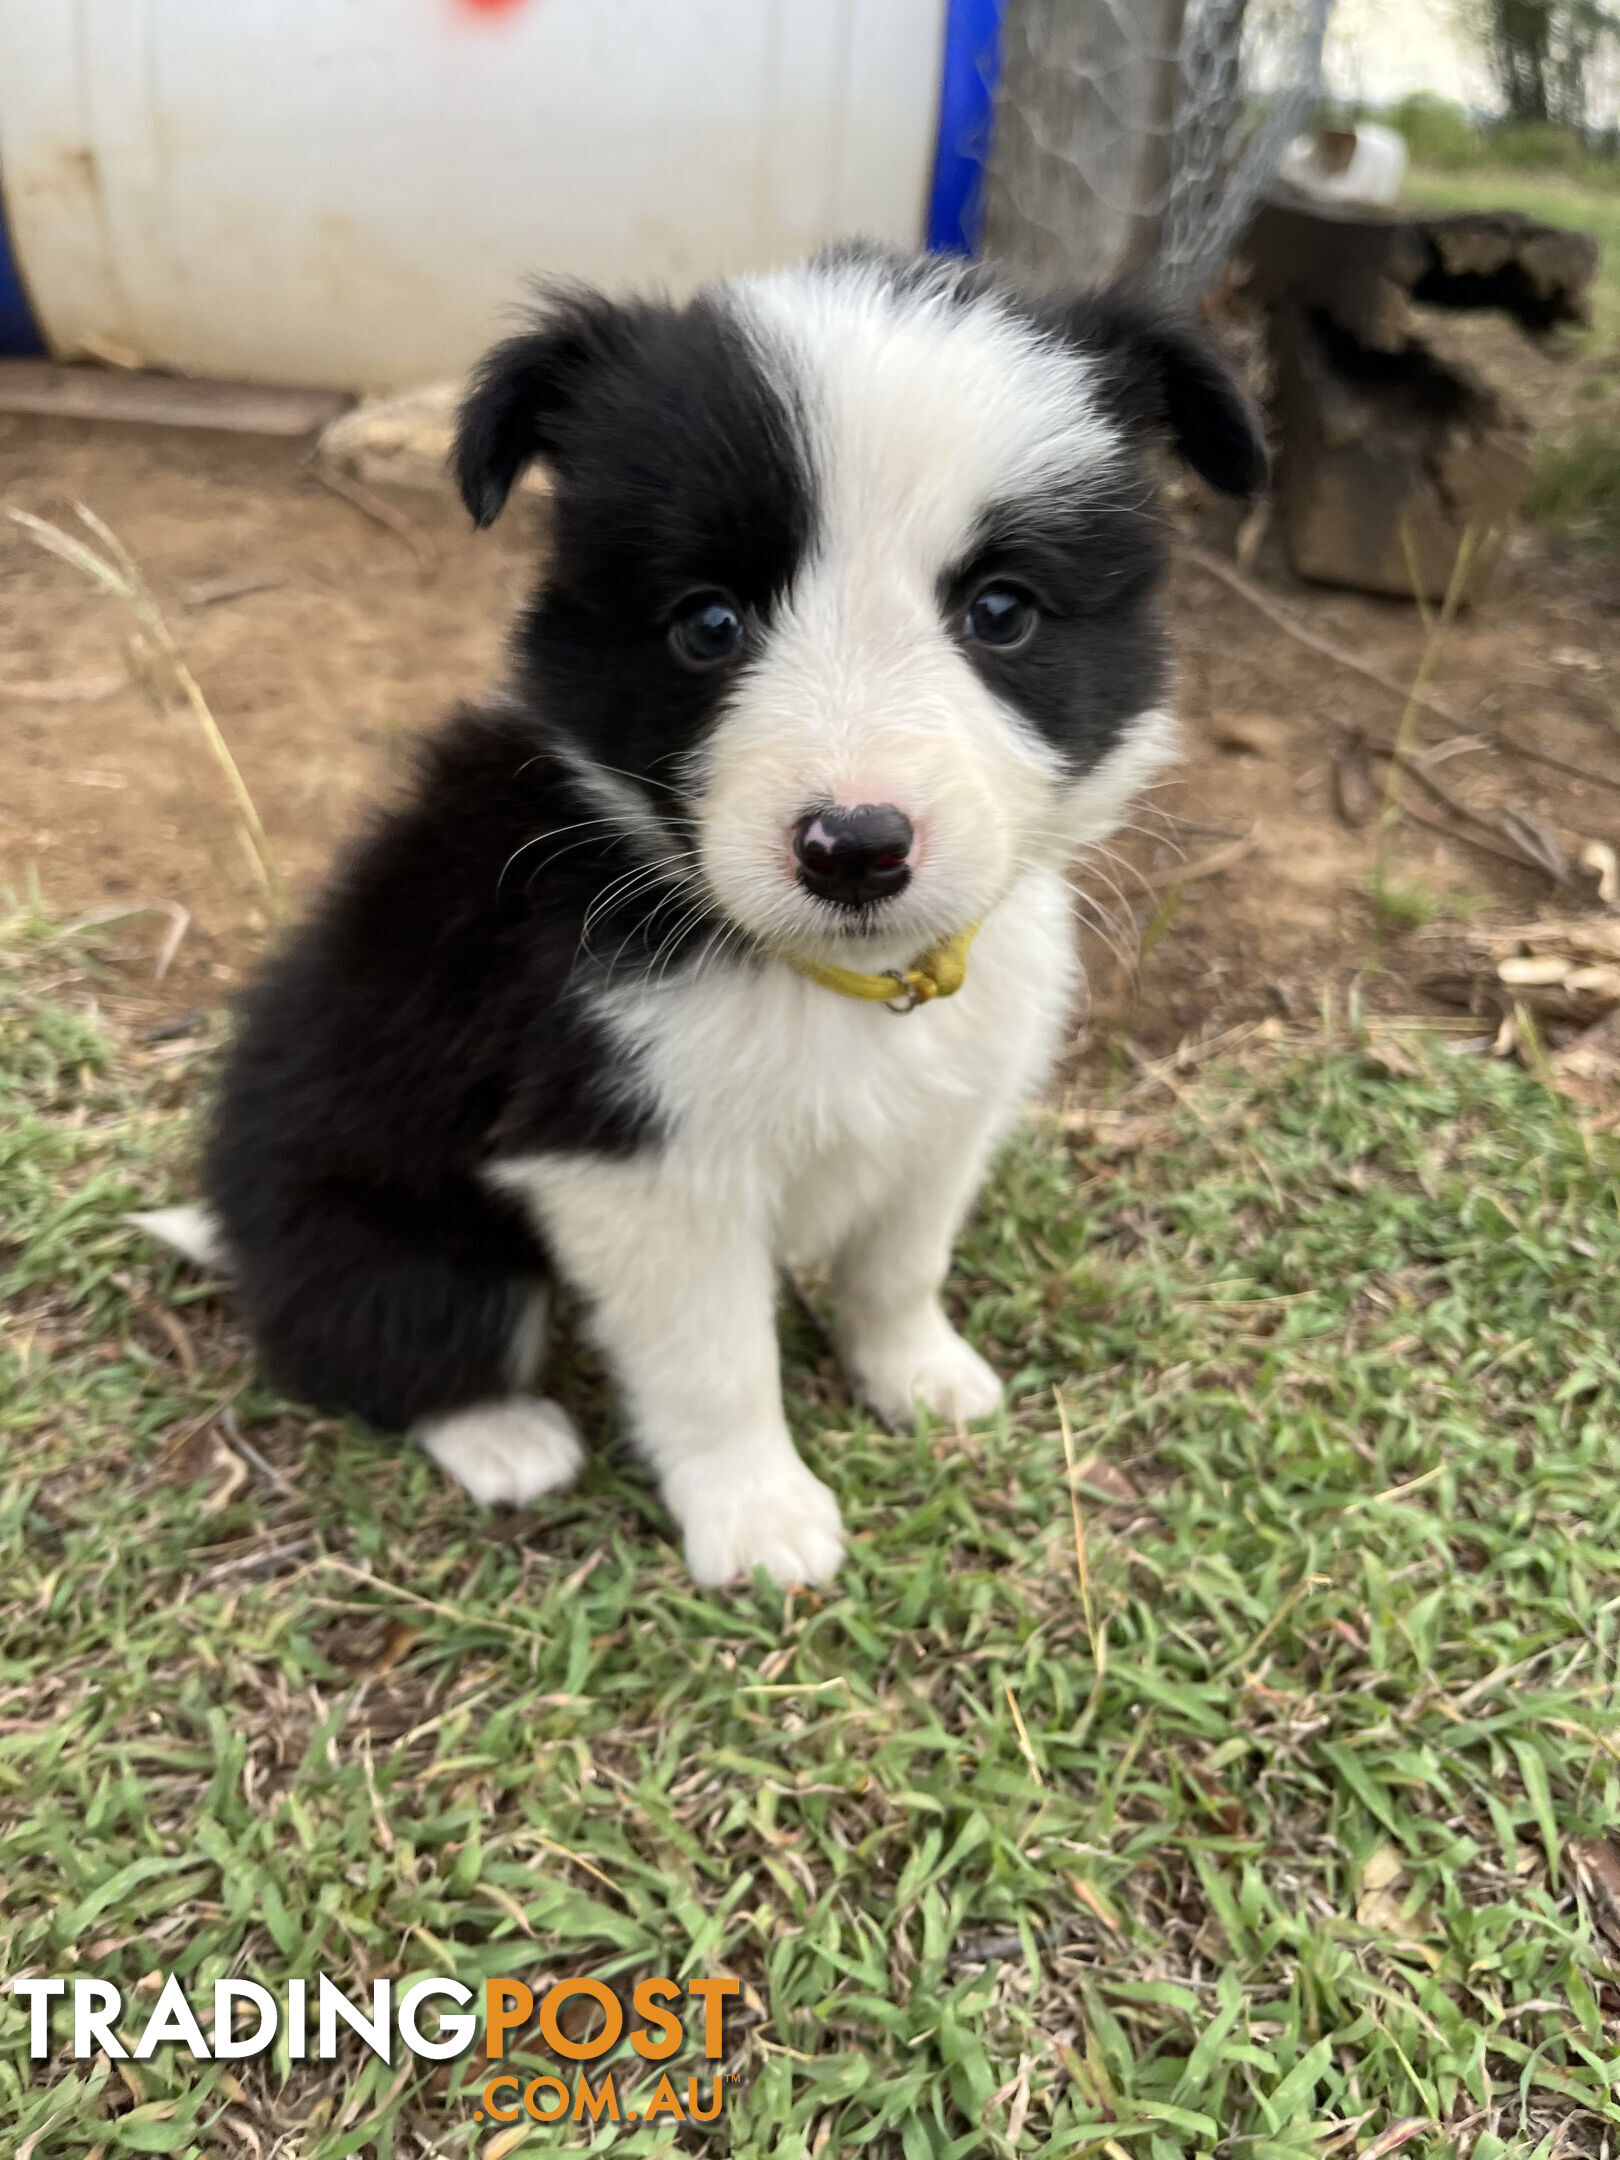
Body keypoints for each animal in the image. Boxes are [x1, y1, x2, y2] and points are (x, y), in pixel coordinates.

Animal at [142, 245, 1270, 1589]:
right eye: (708, 623)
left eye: (1003, 612)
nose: (855, 848)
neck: (840, 981)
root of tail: (242, 1237)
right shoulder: (632, 1157)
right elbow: (715, 1359)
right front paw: (759, 1517)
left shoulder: (955, 1106)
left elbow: (903, 1260)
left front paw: (920, 1375)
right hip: (404, 1242)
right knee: (381, 1344)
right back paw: (504, 1436)